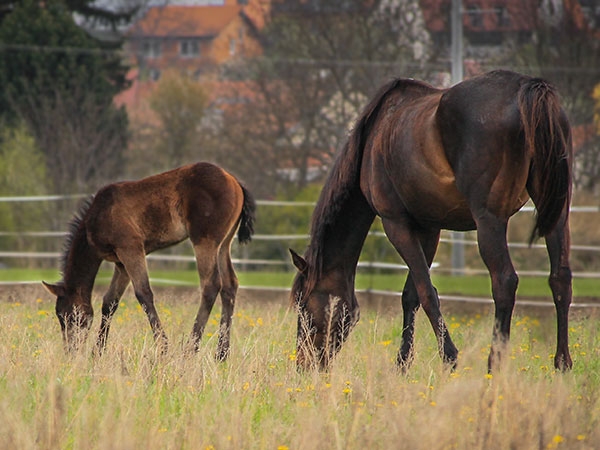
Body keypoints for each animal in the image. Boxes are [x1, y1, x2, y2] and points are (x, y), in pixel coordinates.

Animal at [44, 160, 255, 360]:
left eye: (69, 316)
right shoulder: (121, 262)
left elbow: (143, 293)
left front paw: (163, 348)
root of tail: (235, 182)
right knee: (229, 285)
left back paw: (189, 350)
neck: (97, 218)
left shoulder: (131, 249)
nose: (71, 350)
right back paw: (222, 353)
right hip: (224, 243)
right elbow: (110, 301)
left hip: (205, 241)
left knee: (211, 285)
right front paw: (98, 351)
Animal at [290, 69, 572, 372]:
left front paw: (449, 357)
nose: (304, 365)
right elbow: (411, 295)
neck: (373, 139)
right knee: (560, 279)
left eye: (304, 307)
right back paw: (562, 363)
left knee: (504, 282)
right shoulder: (428, 228)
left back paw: (494, 366)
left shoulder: (396, 224)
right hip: (556, 213)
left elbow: (427, 293)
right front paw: (403, 363)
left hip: (490, 220)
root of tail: (527, 89)